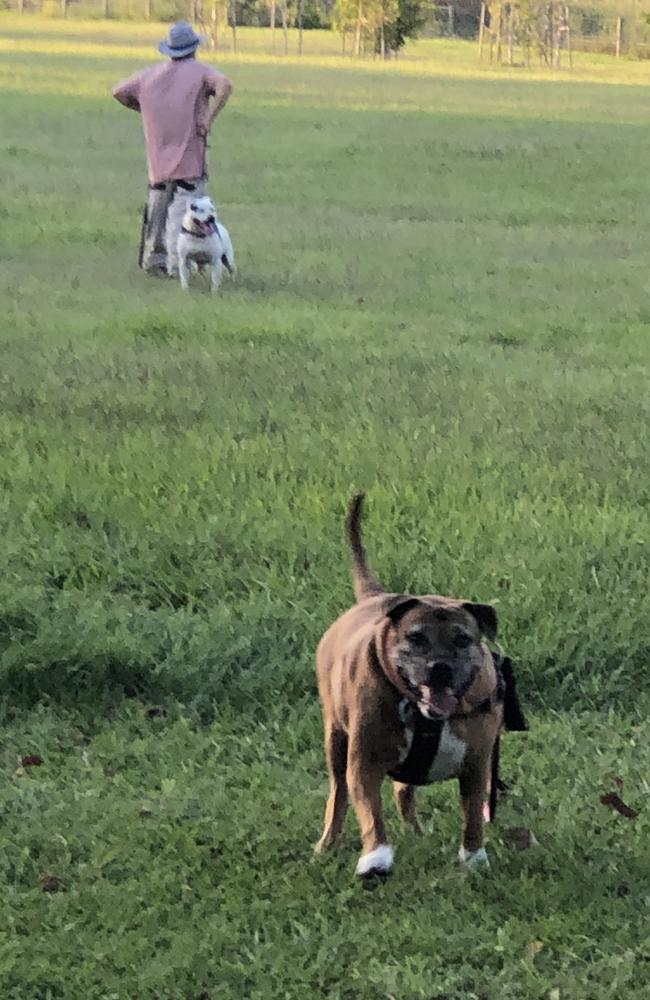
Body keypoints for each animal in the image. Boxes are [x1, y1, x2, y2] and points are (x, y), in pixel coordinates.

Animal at [314, 494, 506, 876]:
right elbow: (370, 812)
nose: (439, 668)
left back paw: (416, 832)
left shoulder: (476, 764)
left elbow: (472, 816)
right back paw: (327, 843)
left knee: (403, 792)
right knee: (338, 793)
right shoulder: (364, 761)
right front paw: (376, 857)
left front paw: (474, 857)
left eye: (463, 639)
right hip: (335, 739)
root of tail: (372, 597)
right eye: (415, 638)